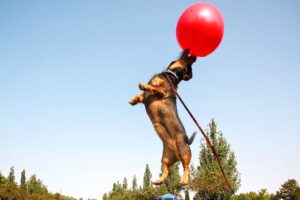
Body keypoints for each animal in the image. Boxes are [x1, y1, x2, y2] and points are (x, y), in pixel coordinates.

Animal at [129, 50, 197, 186]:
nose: (194, 56)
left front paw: (143, 85)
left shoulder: (163, 91)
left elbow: (153, 87)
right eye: (190, 65)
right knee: (167, 172)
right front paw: (133, 100)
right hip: (165, 158)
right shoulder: (144, 98)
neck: (170, 75)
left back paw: (184, 180)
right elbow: (140, 96)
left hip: (184, 151)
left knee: (186, 167)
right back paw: (158, 181)